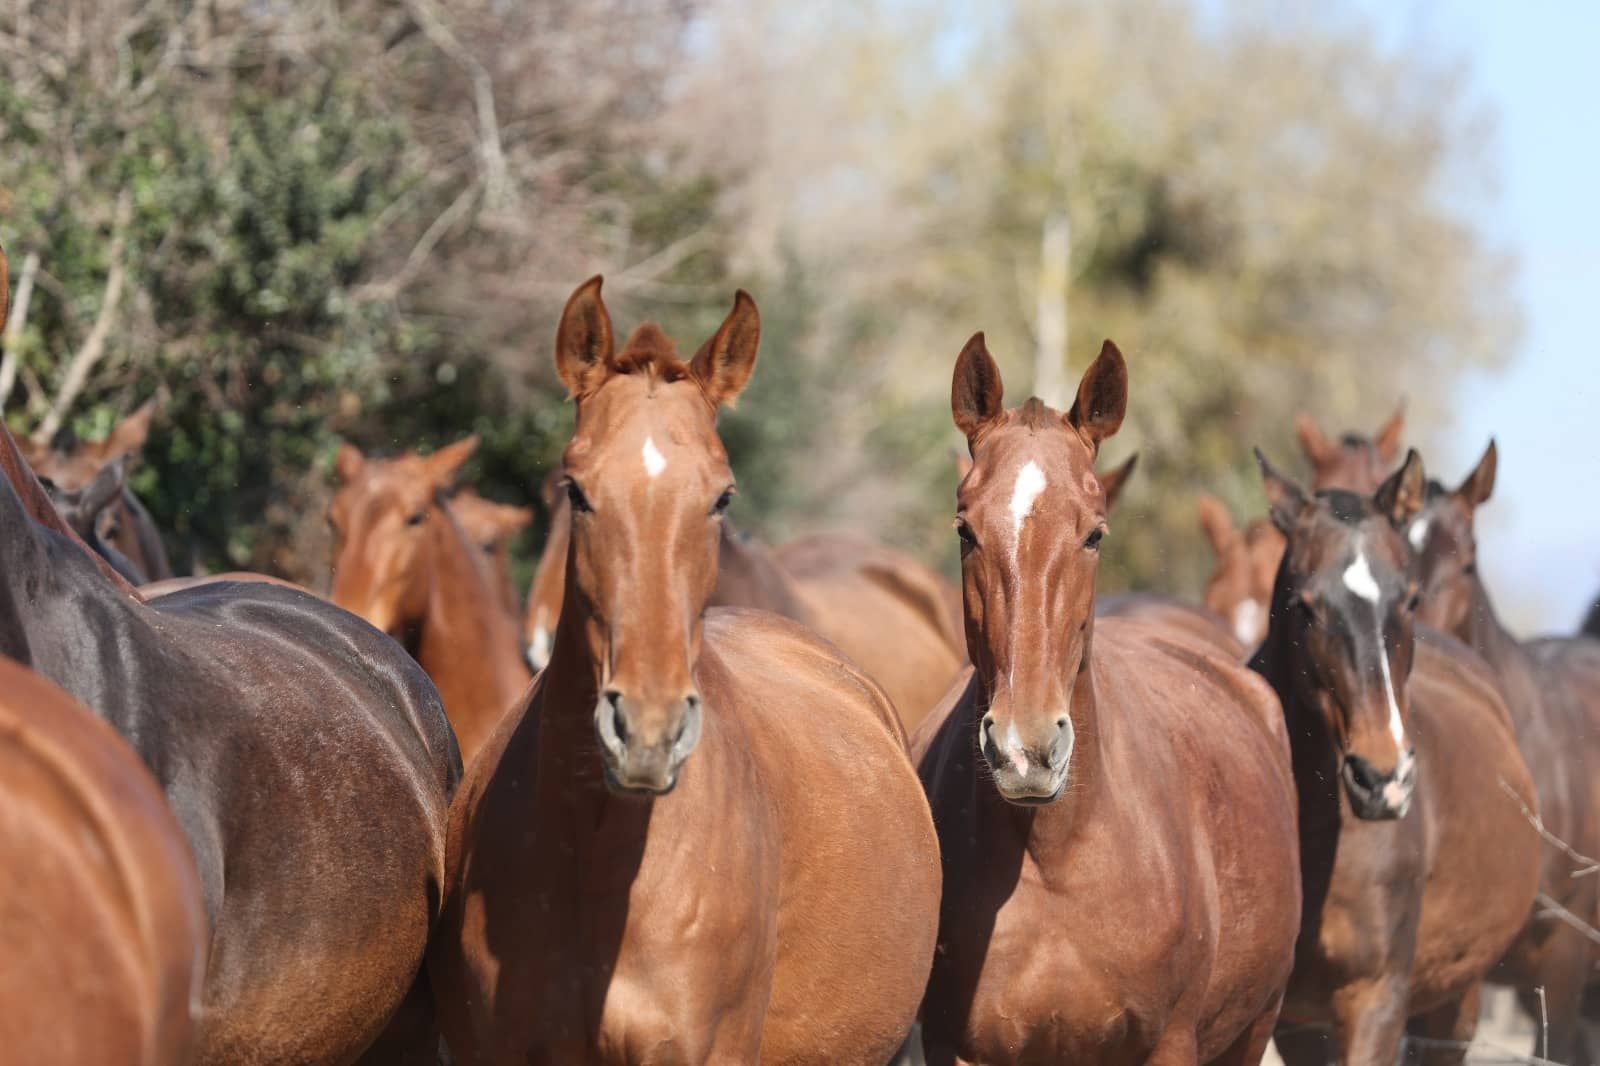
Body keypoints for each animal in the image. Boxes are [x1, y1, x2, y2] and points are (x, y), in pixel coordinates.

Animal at [913, 333, 1301, 1065]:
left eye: (1094, 532)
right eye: (964, 530)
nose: (1026, 749)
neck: (1058, 862)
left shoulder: (1170, 1043)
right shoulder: (956, 1045)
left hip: (1255, 1025)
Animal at [1249, 448, 1540, 1066]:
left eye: (1406, 599)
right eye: (1304, 605)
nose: (1381, 777)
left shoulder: (1377, 1000)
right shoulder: (1284, 1019)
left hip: (1457, 1000)